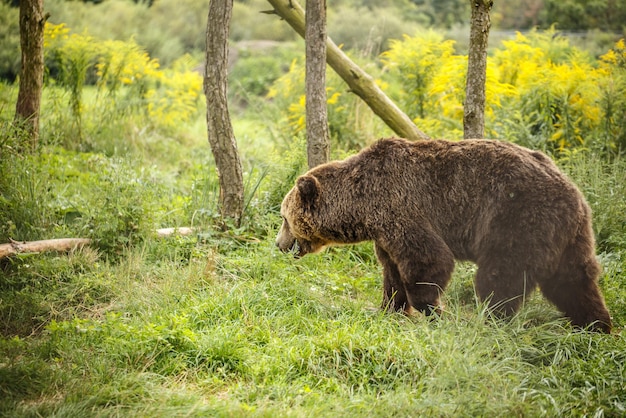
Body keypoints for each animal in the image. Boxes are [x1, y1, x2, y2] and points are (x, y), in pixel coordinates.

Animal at [276, 137, 608, 334]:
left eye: (283, 218)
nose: (279, 244)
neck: (362, 205)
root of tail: (573, 192)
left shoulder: (401, 208)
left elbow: (428, 259)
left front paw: (433, 310)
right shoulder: (384, 233)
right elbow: (391, 272)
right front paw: (388, 308)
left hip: (516, 219)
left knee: (499, 277)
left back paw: (488, 322)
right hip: (567, 234)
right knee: (575, 281)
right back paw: (596, 325)